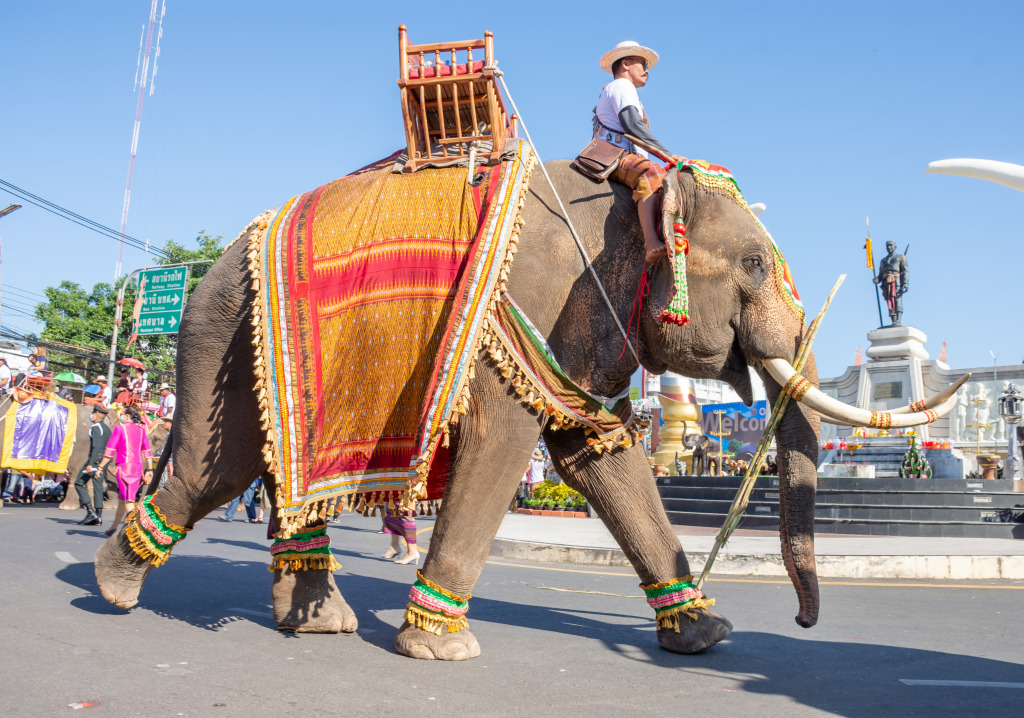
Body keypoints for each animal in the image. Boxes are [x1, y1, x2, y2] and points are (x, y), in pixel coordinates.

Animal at [90, 159, 958, 659]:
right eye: (751, 263)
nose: (806, 626)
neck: (633, 197)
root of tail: (204, 268)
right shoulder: (527, 301)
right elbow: (505, 444)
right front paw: (440, 651)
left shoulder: (586, 328)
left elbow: (598, 451)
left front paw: (706, 635)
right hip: (222, 332)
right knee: (221, 462)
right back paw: (116, 588)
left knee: (266, 472)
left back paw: (315, 622)